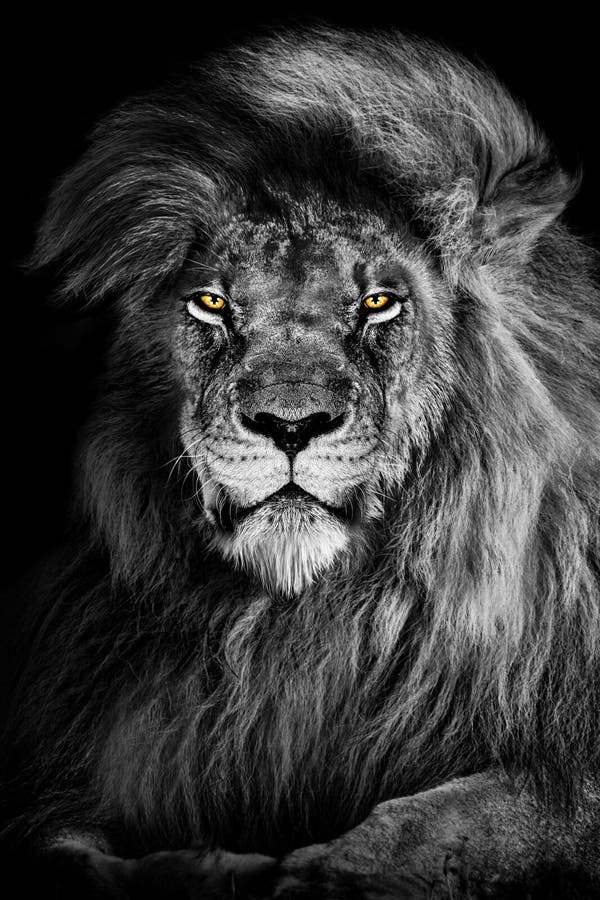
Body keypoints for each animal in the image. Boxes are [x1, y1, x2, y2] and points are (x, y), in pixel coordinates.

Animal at [2, 23, 600, 899]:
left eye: (379, 302)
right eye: (212, 303)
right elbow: (65, 849)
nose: (291, 425)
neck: (308, 624)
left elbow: (457, 820)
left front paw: (328, 874)